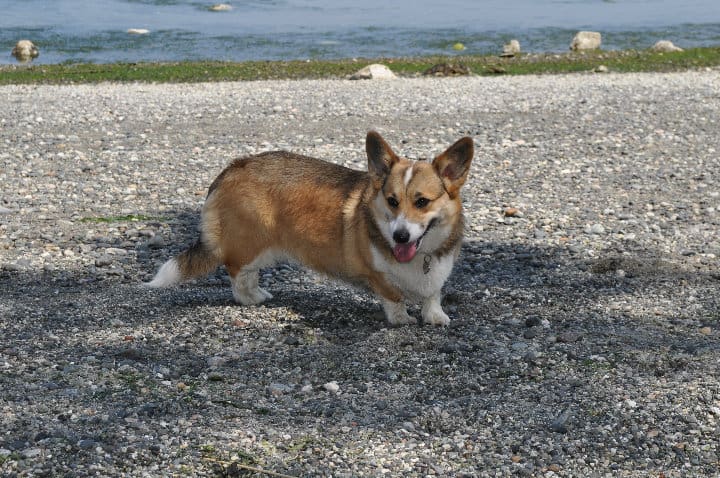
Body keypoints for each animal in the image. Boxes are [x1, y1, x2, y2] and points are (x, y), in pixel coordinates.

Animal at [146, 131, 472, 324]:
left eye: (422, 201)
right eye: (392, 201)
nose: (399, 236)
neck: (421, 257)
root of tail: (233, 167)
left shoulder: (437, 274)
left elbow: (433, 294)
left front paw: (435, 316)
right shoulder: (376, 275)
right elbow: (393, 297)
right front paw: (402, 319)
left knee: (248, 275)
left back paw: (259, 294)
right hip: (251, 244)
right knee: (236, 273)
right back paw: (250, 299)